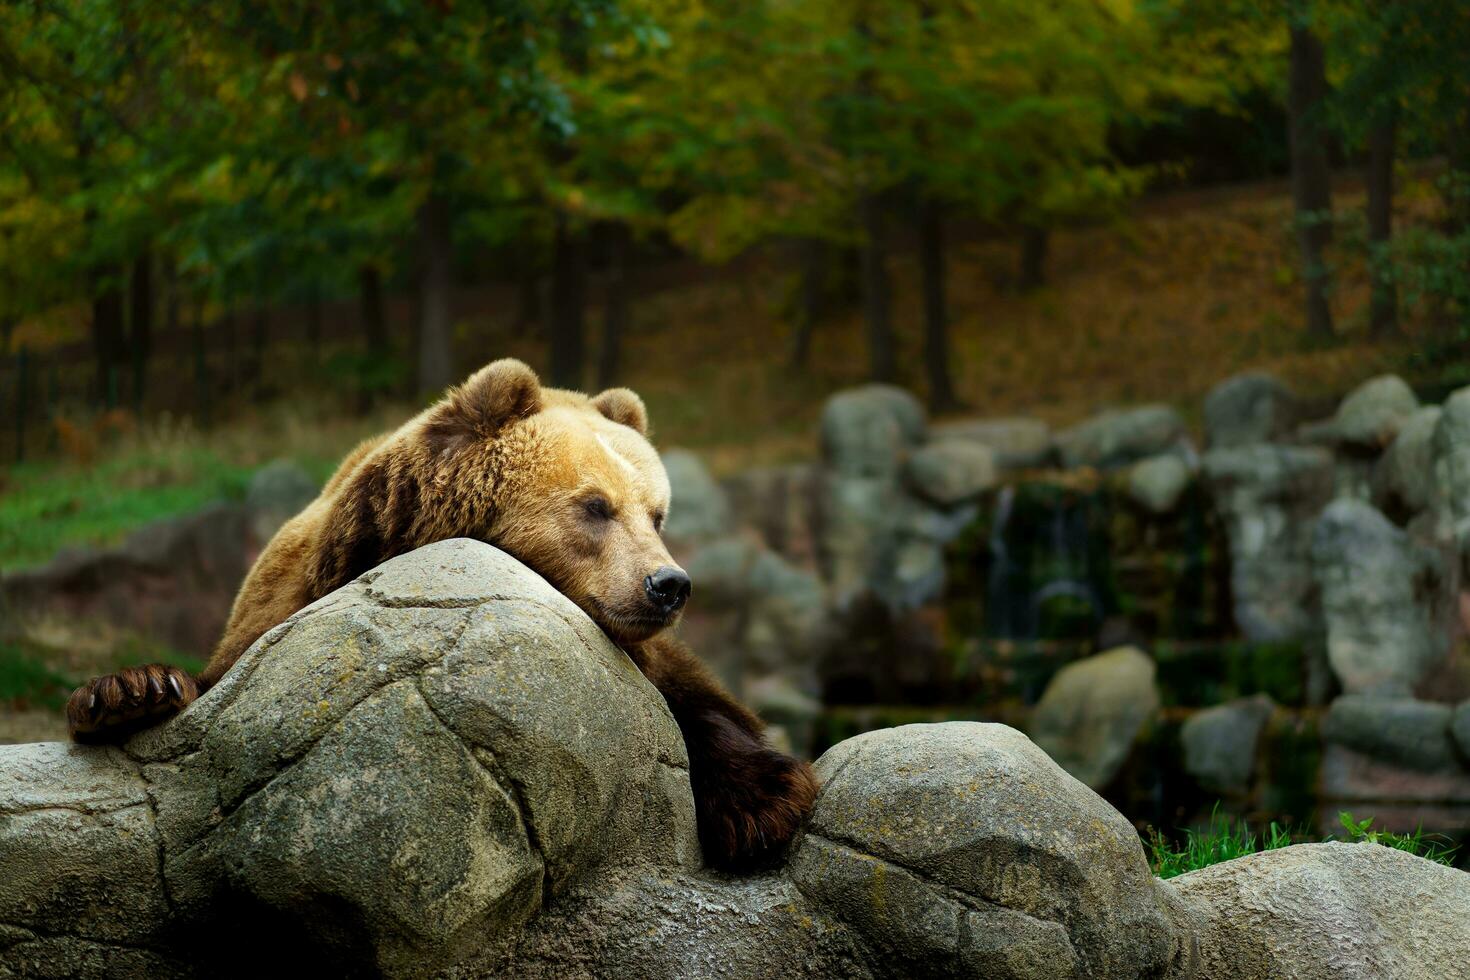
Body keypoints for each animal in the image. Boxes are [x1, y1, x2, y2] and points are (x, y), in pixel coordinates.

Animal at [66, 359, 817, 875]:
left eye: (656, 513)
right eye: (595, 506)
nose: (669, 585)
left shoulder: (652, 655)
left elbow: (701, 702)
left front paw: (760, 805)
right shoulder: (284, 606)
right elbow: (212, 678)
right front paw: (128, 691)